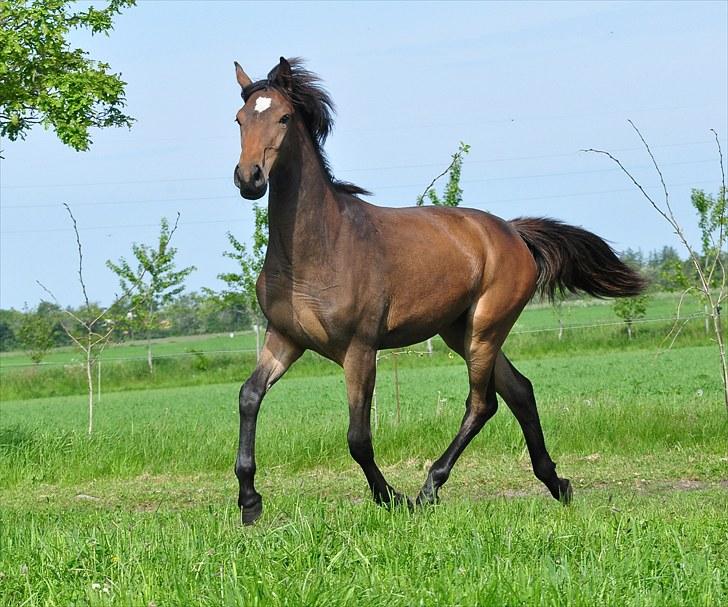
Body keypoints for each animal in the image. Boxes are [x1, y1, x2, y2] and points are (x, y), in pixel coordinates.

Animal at [230, 57, 644, 524]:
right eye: (240, 119)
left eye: (283, 117)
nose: (249, 179)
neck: (318, 248)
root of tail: (513, 233)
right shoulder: (285, 339)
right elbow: (249, 397)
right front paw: (249, 501)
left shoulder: (359, 349)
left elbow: (358, 437)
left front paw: (391, 498)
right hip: (460, 331)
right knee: (519, 391)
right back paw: (557, 483)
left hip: (485, 330)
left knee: (482, 404)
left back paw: (430, 488)